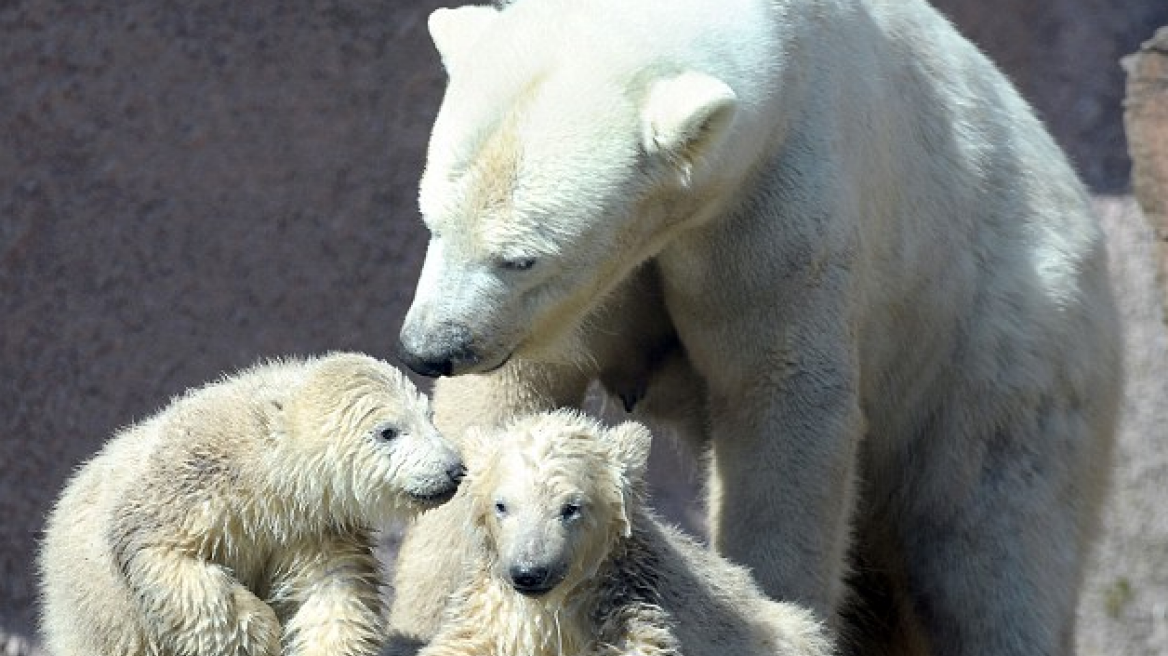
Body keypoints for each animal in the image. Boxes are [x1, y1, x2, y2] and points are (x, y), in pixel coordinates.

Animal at [394, 0, 1121, 648]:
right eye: (431, 221)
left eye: (520, 257)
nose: (428, 348)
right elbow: (509, 402)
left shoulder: (778, 203)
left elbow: (779, 403)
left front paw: (774, 612)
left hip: (995, 351)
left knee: (991, 547)